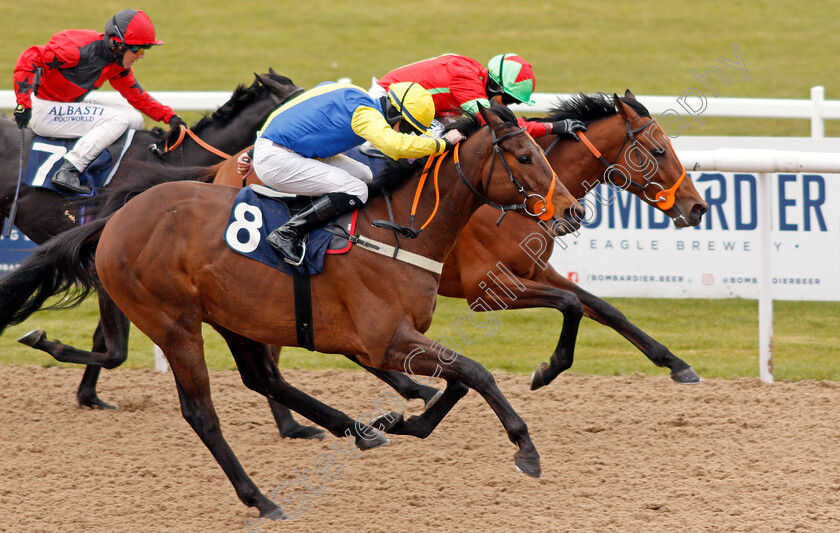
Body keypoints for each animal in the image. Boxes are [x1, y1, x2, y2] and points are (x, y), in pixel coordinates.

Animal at [0, 105, 580, 520]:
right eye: (525, 157)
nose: (572, 210)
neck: (401, 230)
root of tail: (116, 219)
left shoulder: (399, 339)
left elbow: (458, 379)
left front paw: (407, 420)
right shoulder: (384, 340)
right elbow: (477, 373)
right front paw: (525, 448)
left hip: (232, 316)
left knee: (264, 379)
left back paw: (358, 429)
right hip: (175, 323)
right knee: (202, 413)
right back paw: (261, 498)